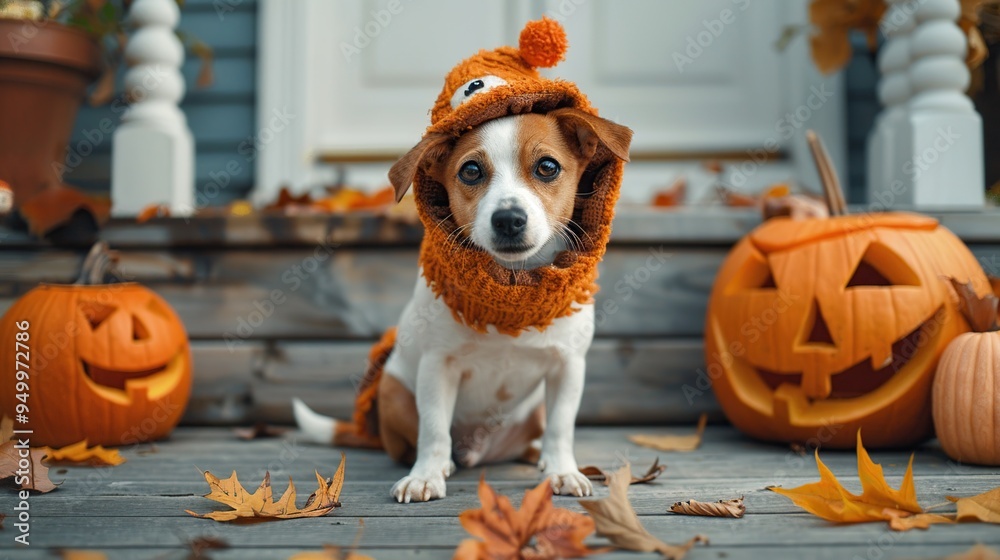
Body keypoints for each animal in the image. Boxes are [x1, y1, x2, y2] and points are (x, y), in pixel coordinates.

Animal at [292, 108, 628, 504]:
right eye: (470, 171)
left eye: (547, 166)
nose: (508, 219)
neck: (511, 293)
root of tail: (480, 450)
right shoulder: (438, 366)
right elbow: (434, 428)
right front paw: (425, 477)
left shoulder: (568, 366)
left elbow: (561, 426)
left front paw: (562, 471)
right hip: (392, 389)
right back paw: (444, 464)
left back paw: (535, 455)